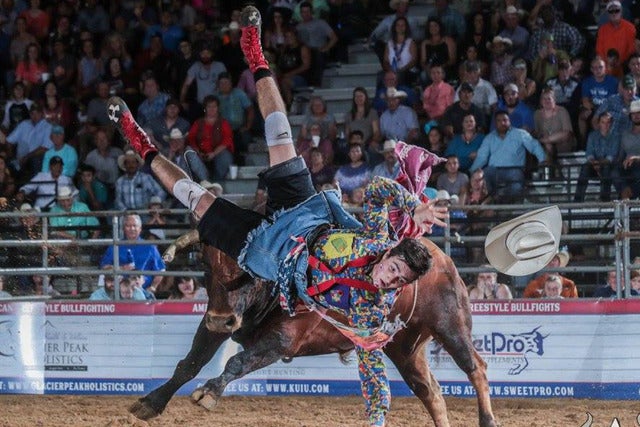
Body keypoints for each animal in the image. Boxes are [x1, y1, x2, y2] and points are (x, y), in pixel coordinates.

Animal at [130, 234, 498, 427]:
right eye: (205, 265)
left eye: (246, 269)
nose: (222, 318)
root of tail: (442, 260)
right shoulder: (214, 325)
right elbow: (188, 365)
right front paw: (151, 402)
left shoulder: (284, 341)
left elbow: (237, 362)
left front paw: (209, 392)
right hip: (405, 349)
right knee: (430, 391)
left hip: (450, 326)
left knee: (476, 367)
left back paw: (488, 419)